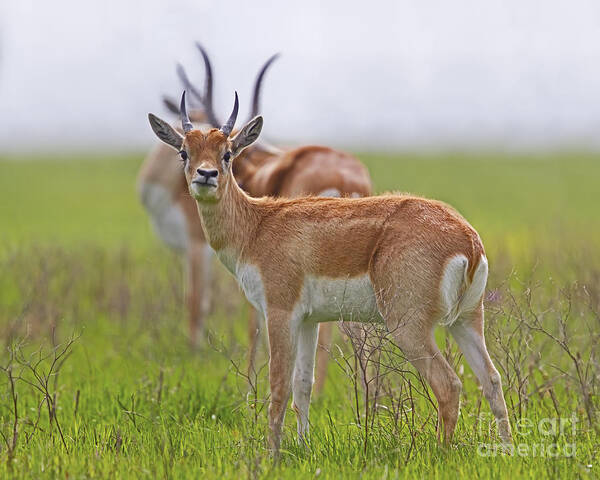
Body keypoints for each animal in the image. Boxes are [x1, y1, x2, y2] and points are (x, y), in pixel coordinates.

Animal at [139, 44, 372, 394]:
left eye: (227, 152)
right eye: (184, 150)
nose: (205, 174)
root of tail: (346, 181)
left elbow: (243, 320)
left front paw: (249, 387)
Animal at [148, 92, 512, 452]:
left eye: (227, 153)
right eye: (185, 151)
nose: (205, 175)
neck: (257, 226)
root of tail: (467, 239)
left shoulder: (280, 313)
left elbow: (278, 385)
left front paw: (271, 454)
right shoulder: (310, 320)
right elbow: (303, 385)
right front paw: (303, 446)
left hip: (409, 327)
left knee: (449, 384)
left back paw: (440, 452)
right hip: (465, 321)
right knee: (492, 379)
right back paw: (507, 451)